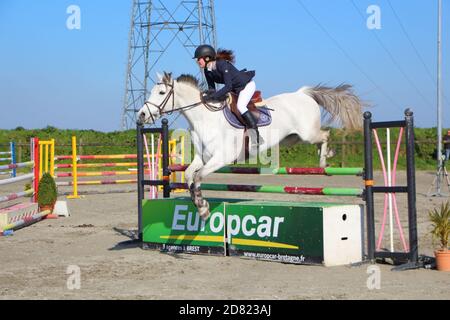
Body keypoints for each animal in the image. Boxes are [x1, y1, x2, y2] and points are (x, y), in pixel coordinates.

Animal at [139, 71, 364, 219]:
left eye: (161, 93)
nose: (141, 115)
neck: (204, 118)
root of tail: (302, 93)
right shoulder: (201, 158)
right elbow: (188, 176)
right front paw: (200, 206)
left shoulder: (221, 158)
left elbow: (199, 177)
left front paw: (203, 207)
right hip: (294, 137)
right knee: (320, 138)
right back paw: (329, 156)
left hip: (307, 133)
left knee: (324, 134)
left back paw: (324, 162)